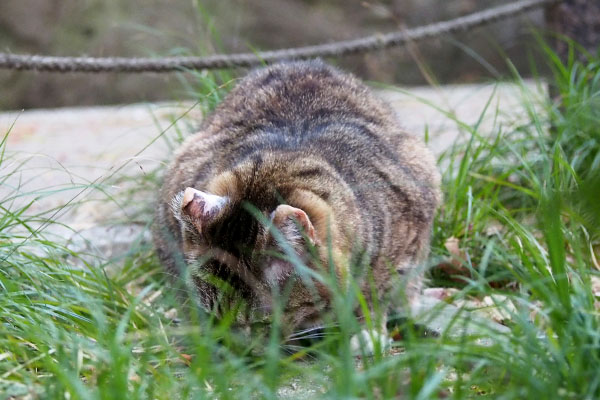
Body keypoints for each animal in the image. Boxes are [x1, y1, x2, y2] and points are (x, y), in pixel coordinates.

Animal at [152, 59, 438, 350]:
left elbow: (376, 289)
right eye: (216, 315)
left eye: (261, 323)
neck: (273, 174)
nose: (239, 348)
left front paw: (367, 329)